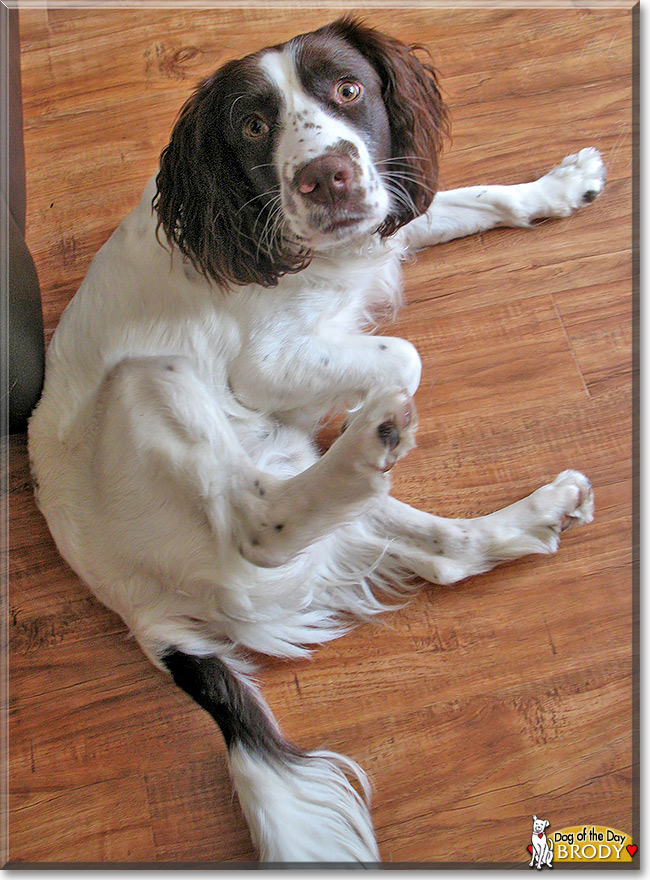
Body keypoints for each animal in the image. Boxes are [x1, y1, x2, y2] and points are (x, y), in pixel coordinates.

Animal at [29, 15, 604, 868]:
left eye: (348, 89)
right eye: (252, 125)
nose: (325, 178)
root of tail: (140, 613)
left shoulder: (388, 204)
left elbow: (468, 198)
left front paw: (560, 186)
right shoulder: (263, 365)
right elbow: (403, 355)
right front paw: (367, 398)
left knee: (442, 552)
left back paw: (537, 508)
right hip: (150, 384)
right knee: (257, 522)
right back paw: (371, 438)